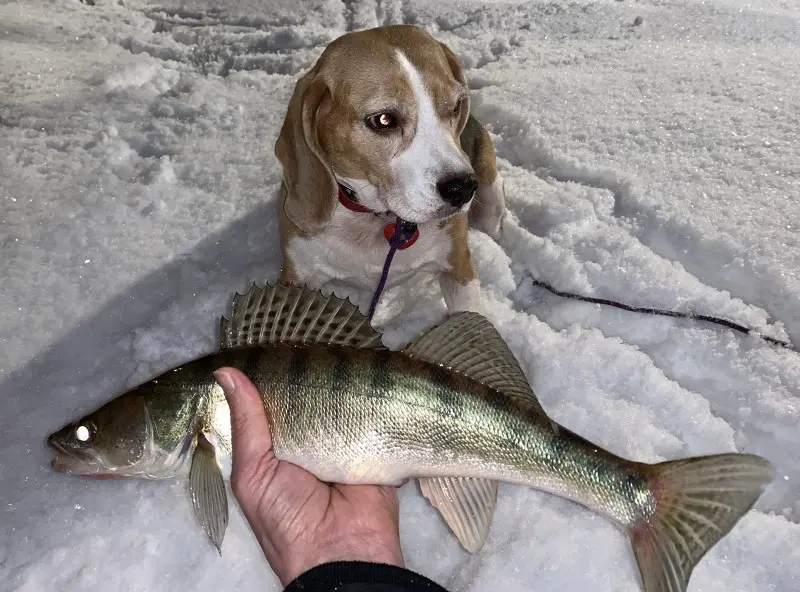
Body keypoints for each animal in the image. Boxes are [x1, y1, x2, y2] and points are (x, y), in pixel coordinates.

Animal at [276, 26, 506, 320]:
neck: (376, 218)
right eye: (384, 120)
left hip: (490, 197)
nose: (463, 188)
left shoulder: (459, 269)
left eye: (456, 106)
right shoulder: (297, 276)